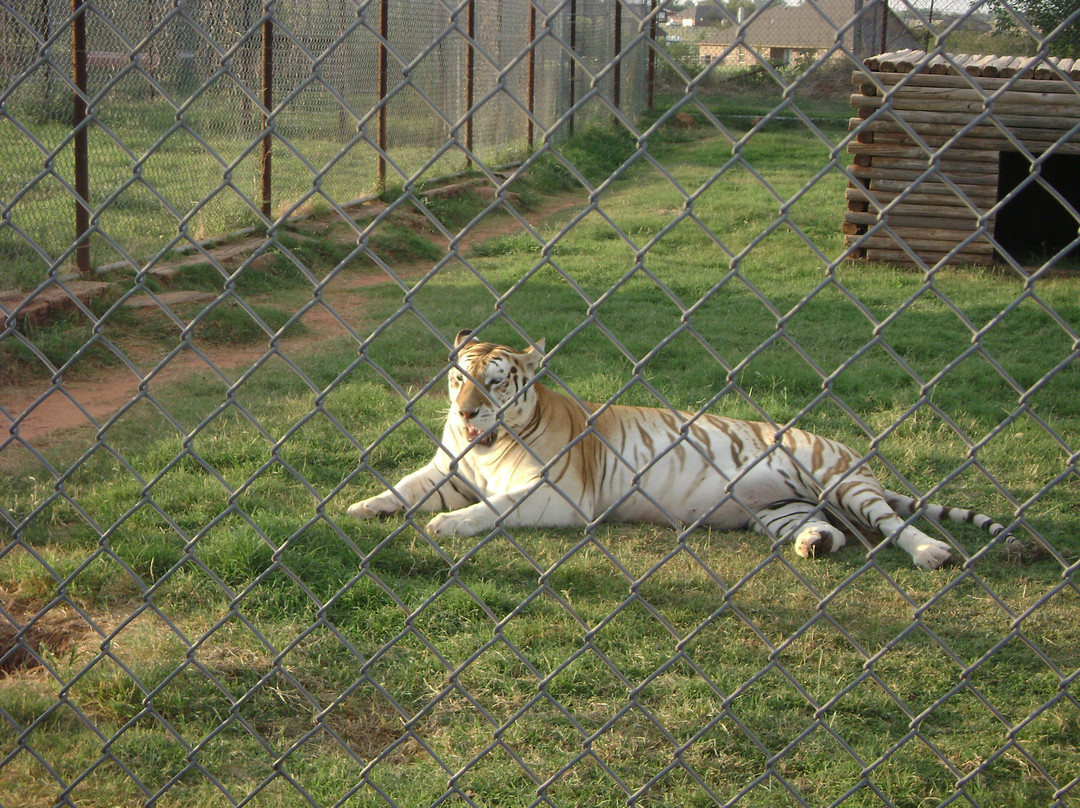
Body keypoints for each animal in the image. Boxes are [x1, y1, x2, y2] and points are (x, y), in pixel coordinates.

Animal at [347, 330, 1008, 569]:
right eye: (458, 378)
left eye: (496, 381)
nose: (465, 413)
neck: (484, 450)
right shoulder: (448, 469)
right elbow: (403, 487)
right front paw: (361, 507)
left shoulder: (557, 495)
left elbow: (490, 510)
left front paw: (447, 526)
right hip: (781, 507)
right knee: (832, 531)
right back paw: (813, 545)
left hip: (839, 479)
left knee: (893, 525)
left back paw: (931, 553)